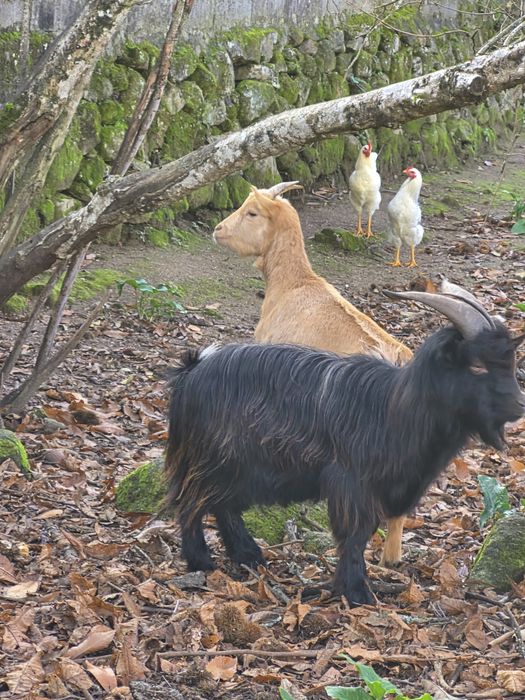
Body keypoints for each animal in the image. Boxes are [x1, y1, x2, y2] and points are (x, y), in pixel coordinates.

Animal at [165, 290, 524, 605]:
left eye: (510, 363)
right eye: (477, 366)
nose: (519, 406)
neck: (393, 409)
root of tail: (192, 370)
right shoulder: (352, 483)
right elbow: (355, 535)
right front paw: (357, 592)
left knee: (223, 506)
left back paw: (248, 554)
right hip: (216, 458)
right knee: (192, 502)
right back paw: (201, 561)